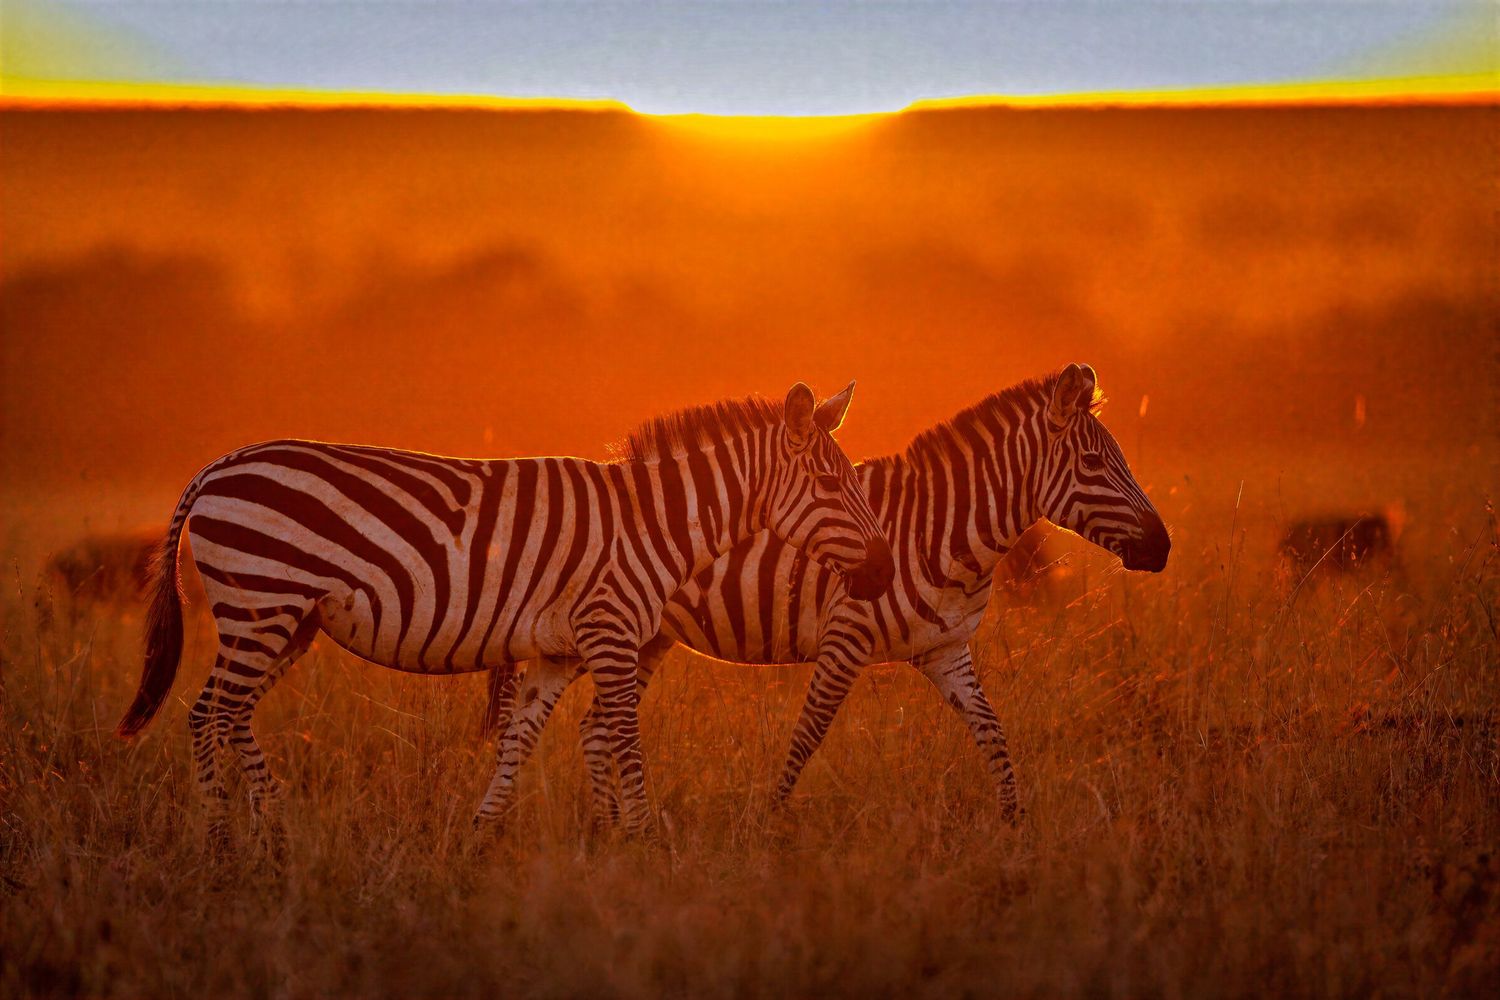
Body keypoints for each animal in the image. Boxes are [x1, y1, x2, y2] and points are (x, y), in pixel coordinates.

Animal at [115, 382, 895, 840]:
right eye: (832, 486)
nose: (885, 572)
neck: (652, 524)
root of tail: (217, 467)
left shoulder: (556, 651)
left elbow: (520, 740)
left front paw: (481, 836)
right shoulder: (609, 634)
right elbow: (626, 742)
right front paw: (644, 841)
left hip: (286, 622)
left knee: (222, 713)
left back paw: (262, 827)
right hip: (261, 602)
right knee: (212, 714)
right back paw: (235, 837)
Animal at [490, 364, 1169, 823]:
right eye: (1093, 464)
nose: (1163, 548)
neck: (942, 530)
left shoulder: (946, 651)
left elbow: (993, 735)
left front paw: (1015, 826)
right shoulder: (846, 639)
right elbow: (806, 737)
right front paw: (770, 824)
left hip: (648, 637)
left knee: (595, 727)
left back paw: (606, 830)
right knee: (587, 723)